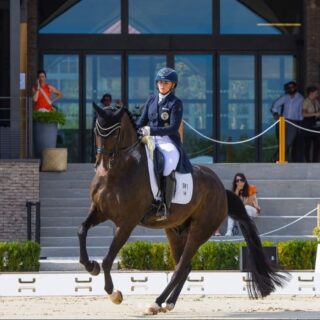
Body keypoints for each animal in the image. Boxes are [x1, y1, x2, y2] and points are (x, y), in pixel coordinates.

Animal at [77, 105, 288, 316]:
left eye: (115, 132)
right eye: (96, 131)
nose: (101, 166)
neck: (118, 172)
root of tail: (221, 189)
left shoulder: (127, 223)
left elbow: (107, 259)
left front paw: (114, 294)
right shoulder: (99, 211)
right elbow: (81, 230)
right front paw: (91, 266)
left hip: (199, 231)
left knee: (180, 267)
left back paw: (156, 303)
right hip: (175, 230)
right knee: (185, 266)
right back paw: (168, 303)